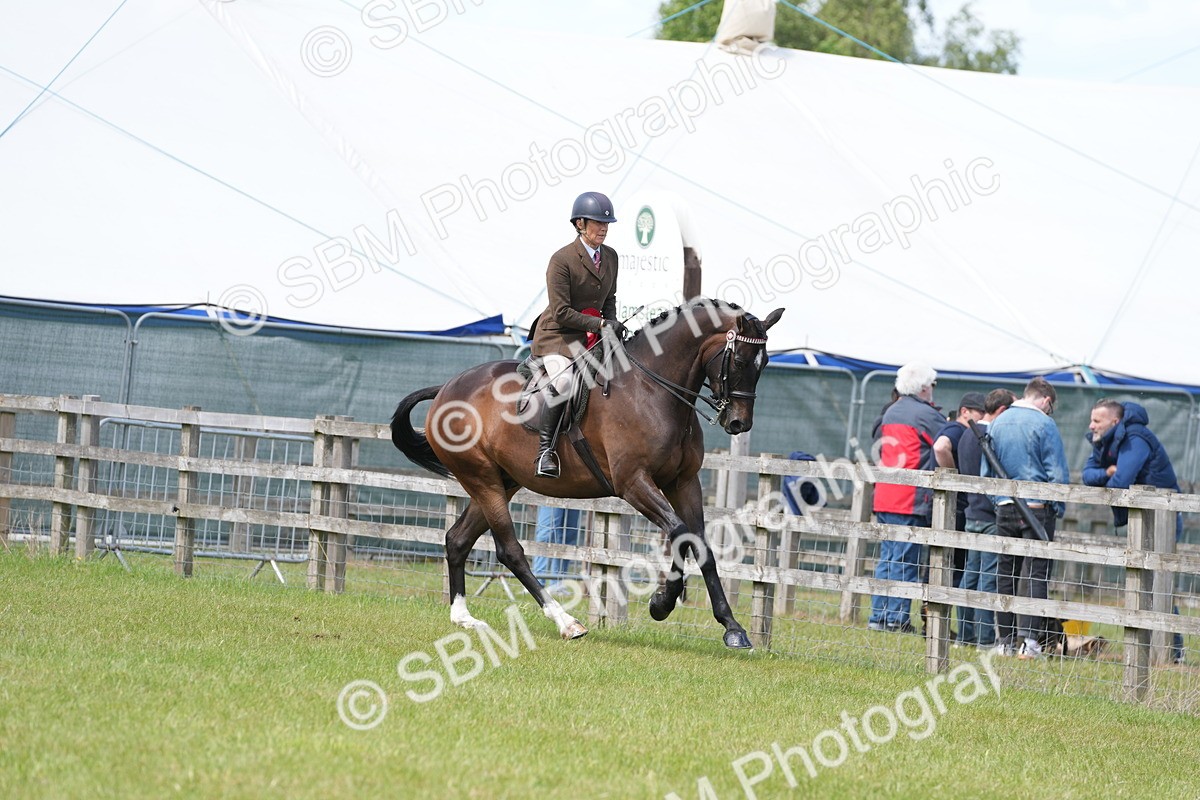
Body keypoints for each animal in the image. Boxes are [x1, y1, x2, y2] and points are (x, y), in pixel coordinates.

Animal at [390, 298, 784, 649]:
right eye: (740, 359)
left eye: (764, 363)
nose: (739, 423)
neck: (653, 390)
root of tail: (446, 388)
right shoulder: (633, 483)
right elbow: (679, 532)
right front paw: (661, 603)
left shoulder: (683, 482)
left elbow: (698, 543)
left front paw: (732, 627)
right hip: (481, 479)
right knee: (509, 551)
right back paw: (566, 622)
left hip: (502, 481)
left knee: (457, 539)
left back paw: (464, 618)